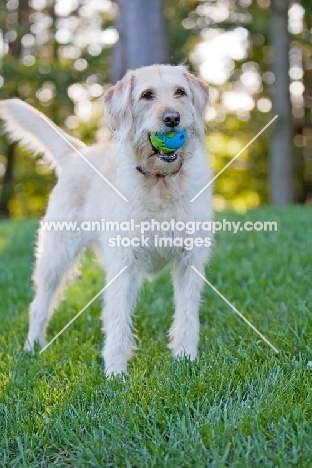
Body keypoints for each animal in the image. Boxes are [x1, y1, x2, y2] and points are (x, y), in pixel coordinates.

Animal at [0, 65, 212, 376]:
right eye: (147, 95)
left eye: (180, 92)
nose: (172, 118)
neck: (160, 182)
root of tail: (78, 153)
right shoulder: (123, 262)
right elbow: (117, 317)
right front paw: (115, 373)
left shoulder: (189, 261)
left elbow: (186, 315)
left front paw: (185, 359)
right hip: (56, 255)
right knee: (40, 304)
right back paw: (32, 347)